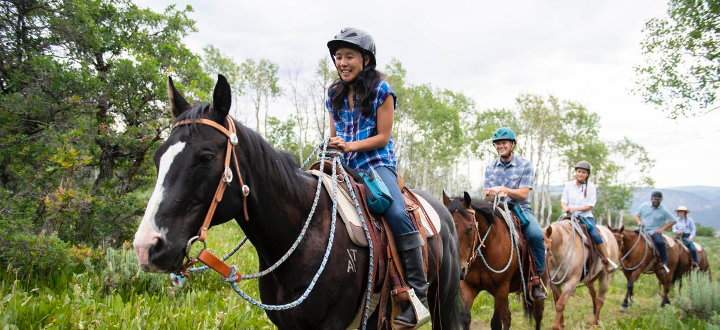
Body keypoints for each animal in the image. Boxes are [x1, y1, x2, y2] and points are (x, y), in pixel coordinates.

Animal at [442, 192, 544, 330]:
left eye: (471, 228)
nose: (459, 269)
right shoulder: (468, 286)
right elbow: (465, 317)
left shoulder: (501, 287)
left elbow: (495, 322)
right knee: (507, 317)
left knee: (538, 316)